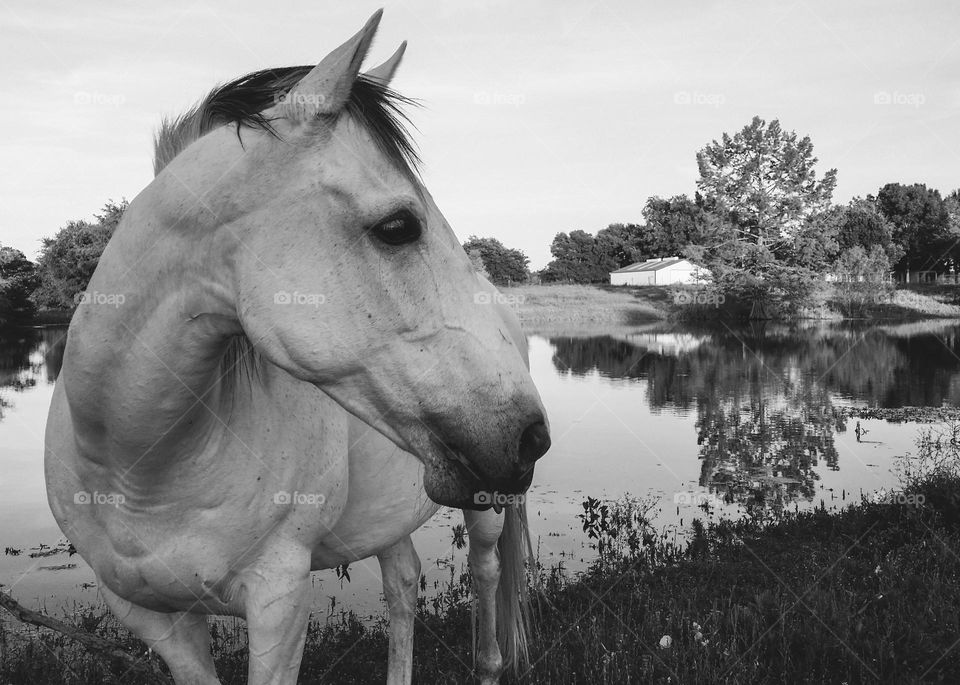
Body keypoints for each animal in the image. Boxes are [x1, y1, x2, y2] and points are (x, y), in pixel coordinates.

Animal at [45, 12, 552, 684]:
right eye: (398, 227)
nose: (531, 437)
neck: (141, 468)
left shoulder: (278, 601)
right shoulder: (152, 618)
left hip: (488, 504)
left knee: (487, 571)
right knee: (404, 585)